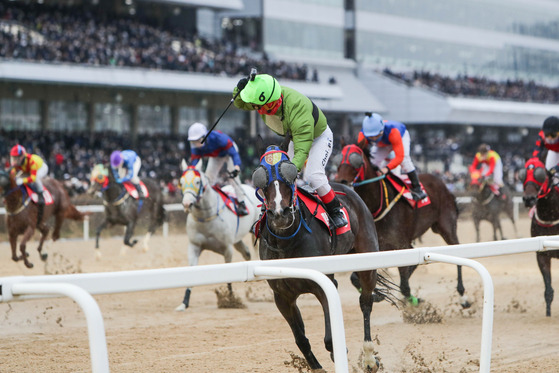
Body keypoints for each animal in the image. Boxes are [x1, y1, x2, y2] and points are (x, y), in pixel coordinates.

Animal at [334, 142, 470, 308]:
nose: (340, 181)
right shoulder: (377, 248)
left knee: (457, 250)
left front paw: (413, 300)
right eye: (338, 159)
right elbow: (355, 277)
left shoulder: (400, 244)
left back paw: (463, 296)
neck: (378, 204)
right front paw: (378, 294)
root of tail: (441, 183)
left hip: (446, 226)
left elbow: (405, 286)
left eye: (356, 161)